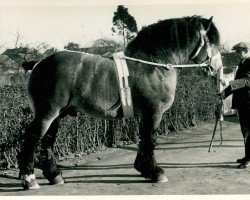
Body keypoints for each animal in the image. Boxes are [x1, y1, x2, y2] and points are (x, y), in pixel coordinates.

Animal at [18, 15, 222, 189]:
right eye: (211, 41)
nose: (217, 68)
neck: (153, 65)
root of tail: (39, 63)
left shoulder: (145, 115)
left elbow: (143, 139)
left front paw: (143, 168)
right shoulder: (153, 113)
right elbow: (150, 139)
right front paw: (155, 172)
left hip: (57, 115)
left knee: (47, 140)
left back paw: (54, 175)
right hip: (47, 114)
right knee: (32, 137)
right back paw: (29, 179)